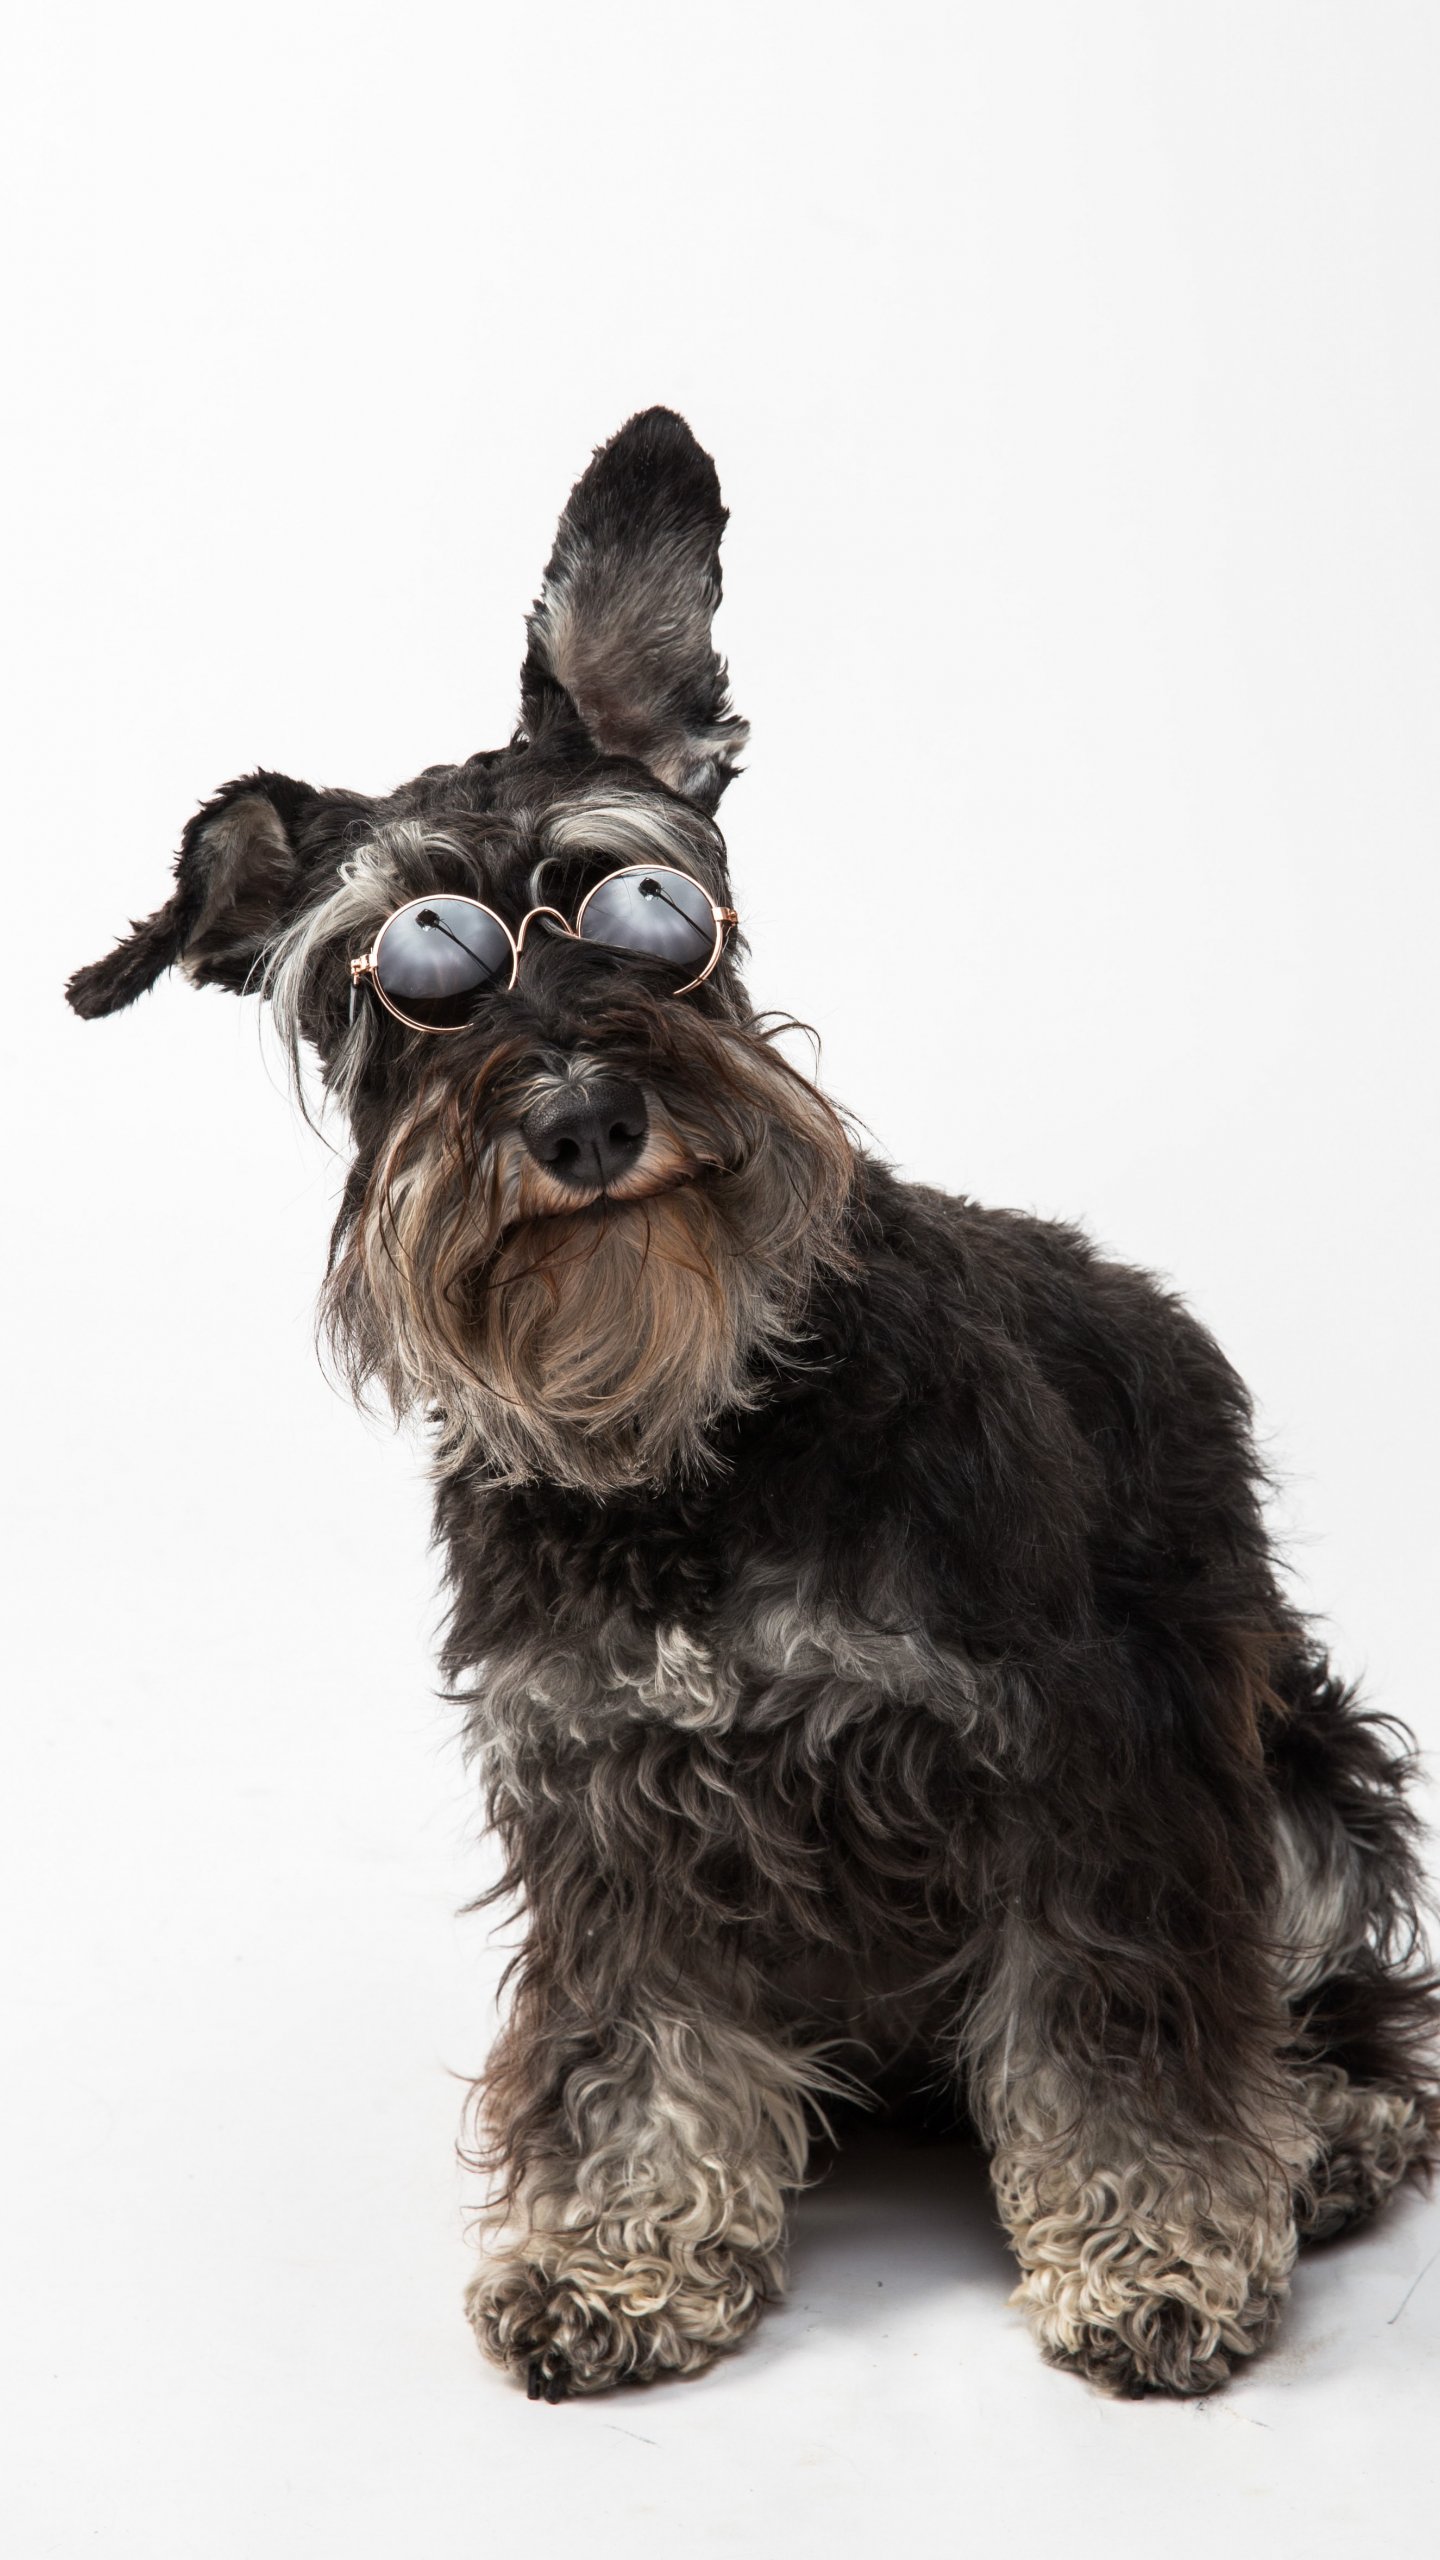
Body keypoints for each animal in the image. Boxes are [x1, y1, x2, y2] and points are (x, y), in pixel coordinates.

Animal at [68, 407, 1437, 2400]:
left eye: (648, 901)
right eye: (402, 977)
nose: (578, 1118)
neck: (688, 1446)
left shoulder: (1090, 1758)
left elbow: (1121, 2028)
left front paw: (1157, 2257)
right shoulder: (606, 1807)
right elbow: (631, 2052)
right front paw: (615, 2262)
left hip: (1300, 1768)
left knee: (1335, 1999)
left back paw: (1327, 2132)